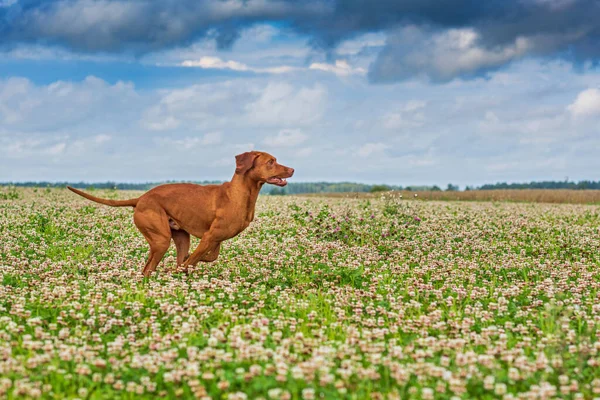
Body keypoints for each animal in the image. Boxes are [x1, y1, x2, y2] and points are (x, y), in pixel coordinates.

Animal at [67, 152, 294, 276]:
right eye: (271, 161)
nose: (292, 169)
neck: (240, 194)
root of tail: (140, 198)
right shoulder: (209, 237)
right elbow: (193, 260)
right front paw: (187, 265)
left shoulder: (215, 239)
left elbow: (207, 257)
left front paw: (189, 263)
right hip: (161, 239)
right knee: (147, 269)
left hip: (180, 236)